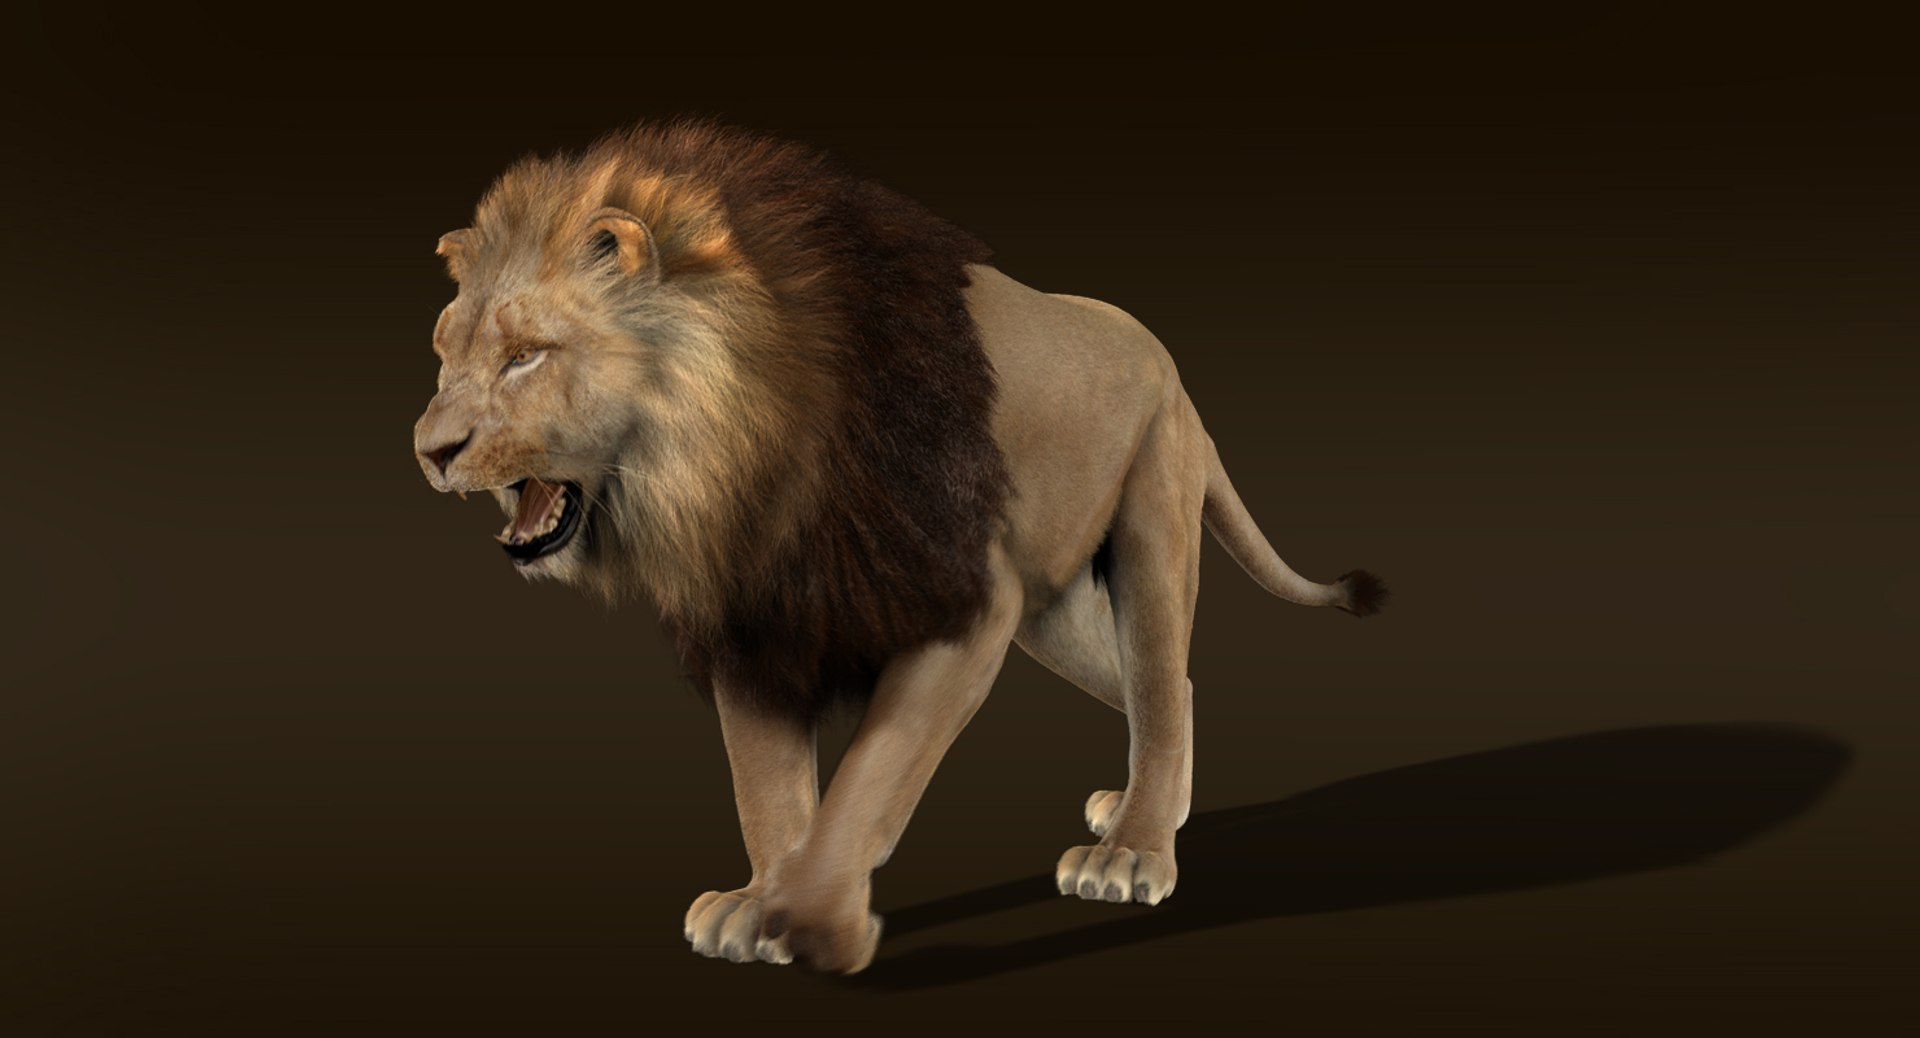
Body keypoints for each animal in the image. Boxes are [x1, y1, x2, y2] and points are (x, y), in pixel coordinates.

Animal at [414, 120, 1385, 974]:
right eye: (443, 354)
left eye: (527, 355)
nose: (428, 449)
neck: (736, 466)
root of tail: (1174, 368)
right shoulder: (754, 620)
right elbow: (765, 787)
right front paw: (755, 902)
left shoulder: (965, 601)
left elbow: (872, 776)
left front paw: (810, 916)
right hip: (1053, 616)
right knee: (1170, 687)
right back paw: (1146, 811)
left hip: (1152, 519)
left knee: (1157, 671)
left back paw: (1135, 848)